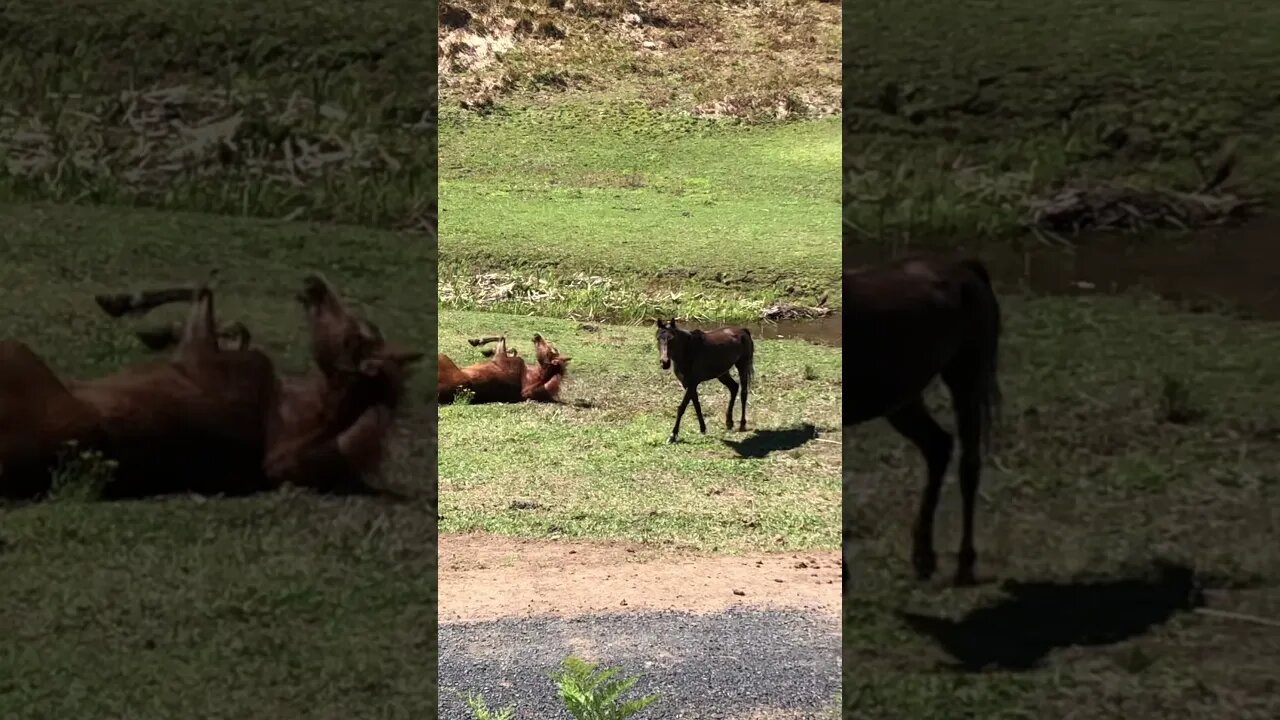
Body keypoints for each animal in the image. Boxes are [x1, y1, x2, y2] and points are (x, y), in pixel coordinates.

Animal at [440, 333, 570, 404]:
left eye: (550, 349)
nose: (536, 336)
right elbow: (511, 348)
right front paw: (488, 349)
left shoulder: (501, 357)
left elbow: (502, 338)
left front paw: (479, 343)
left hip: (442, 356)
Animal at [844, 254, 1003, 586]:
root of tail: (967, 269)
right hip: (902, 399)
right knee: (938, 446)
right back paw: (923, 556)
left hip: (965, 379)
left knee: (968, 463)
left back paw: (964, 564)